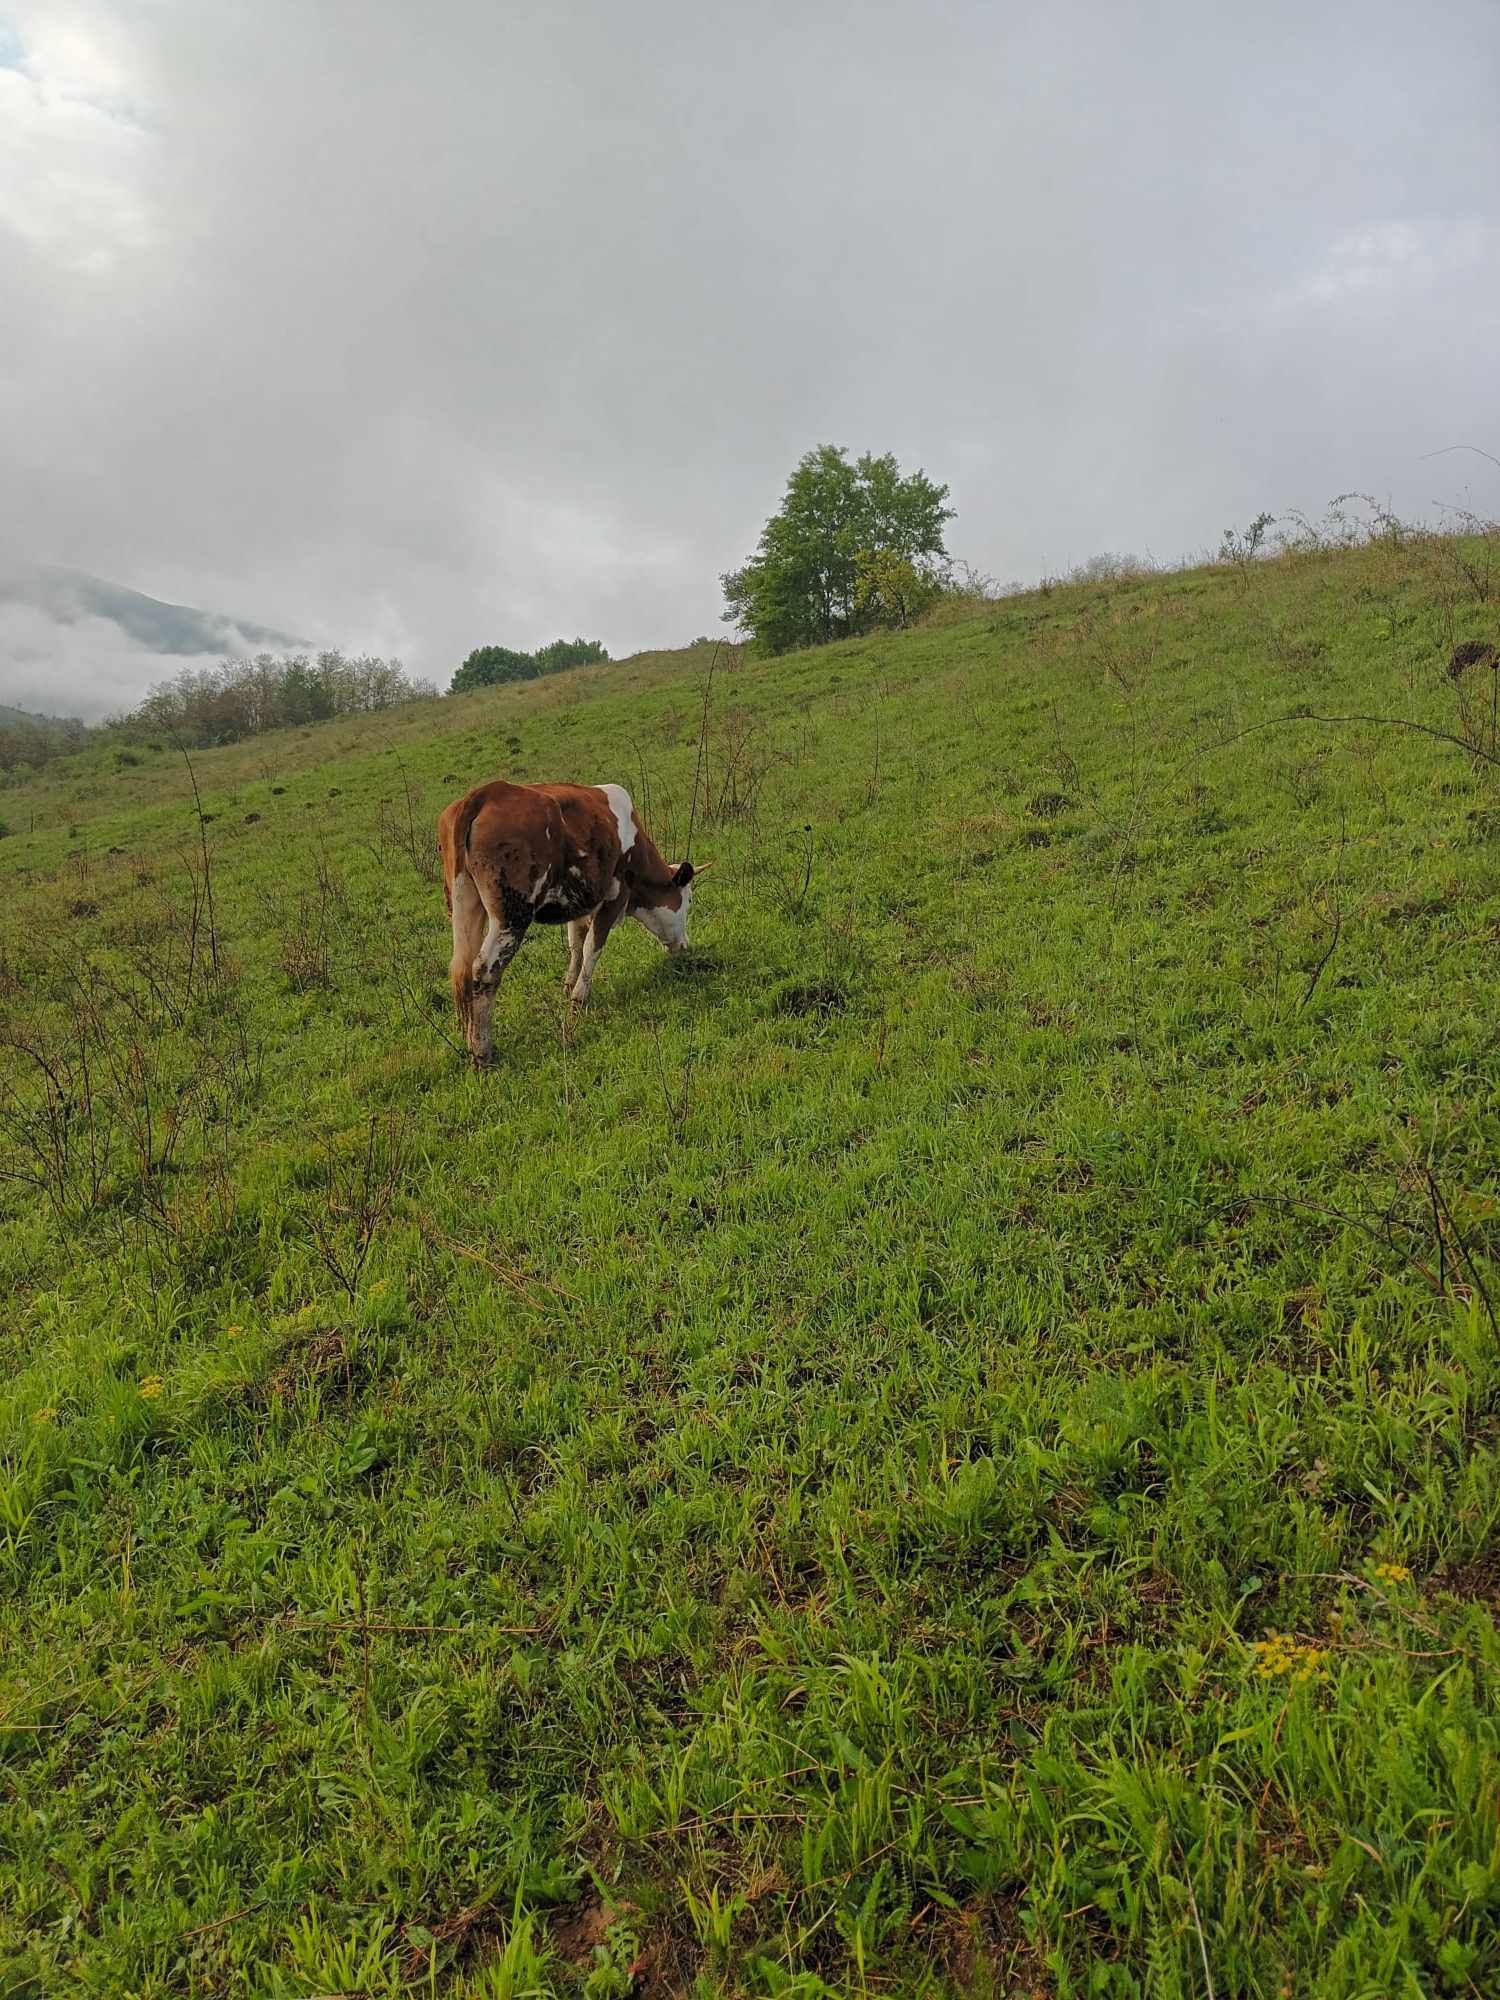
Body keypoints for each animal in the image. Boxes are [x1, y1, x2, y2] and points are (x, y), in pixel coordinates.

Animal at [438, 776, 712, 1064]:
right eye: (689, 901)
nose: (684, 945)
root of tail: (488, 792)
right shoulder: (615, 896)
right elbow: (593, 947)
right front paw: (579, 999)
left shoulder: (580, 902)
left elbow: (576, 943)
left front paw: (569, 985)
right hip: (512, 916)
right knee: (484, 970)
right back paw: (482, 1052)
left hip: (464, 905)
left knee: (462, 968)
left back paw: (468, 1035)